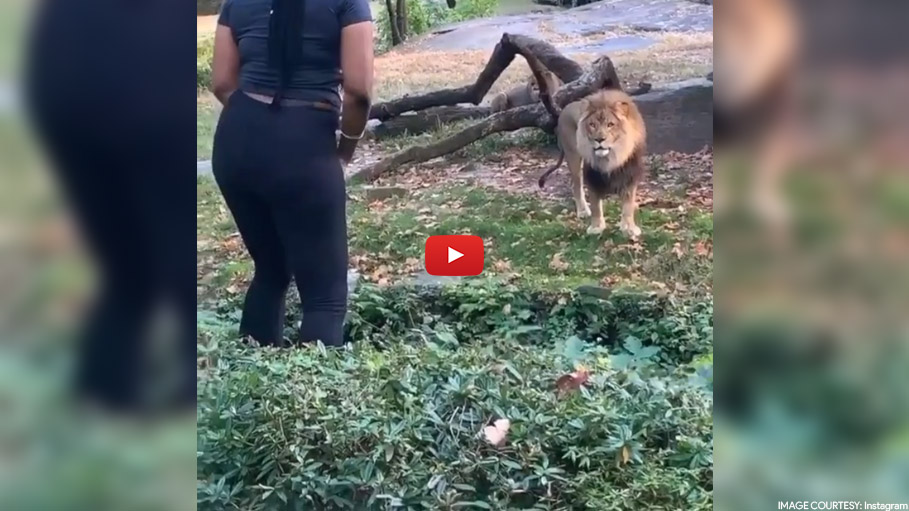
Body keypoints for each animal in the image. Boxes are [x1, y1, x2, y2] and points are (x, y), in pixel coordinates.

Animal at [536, 89, 648, 238]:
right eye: (592, 125)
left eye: (610, 124)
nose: (599, 139)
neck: (611, 157)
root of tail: (563, 109)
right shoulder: (592, 175)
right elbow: (595, 204)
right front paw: (596, 227)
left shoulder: (630, 173)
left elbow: (628, 205)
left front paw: (629, 228)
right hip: (574, 157)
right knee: (576, 185)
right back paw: (583, 211)